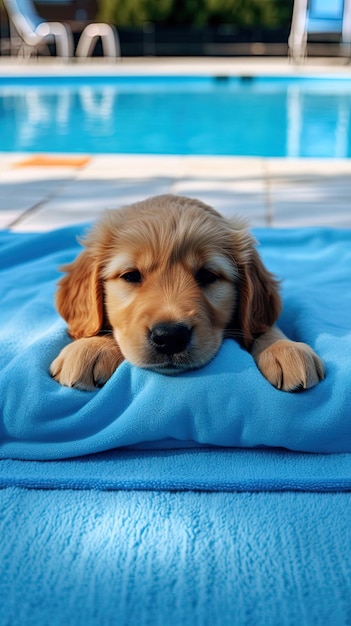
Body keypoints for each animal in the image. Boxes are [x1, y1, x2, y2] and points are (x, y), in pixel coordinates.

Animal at [49, 195, 324, 390]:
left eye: (208, 276)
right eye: (131, 276)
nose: (170, 336)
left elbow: (263, 326)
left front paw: (284, 349)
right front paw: (91, 346)